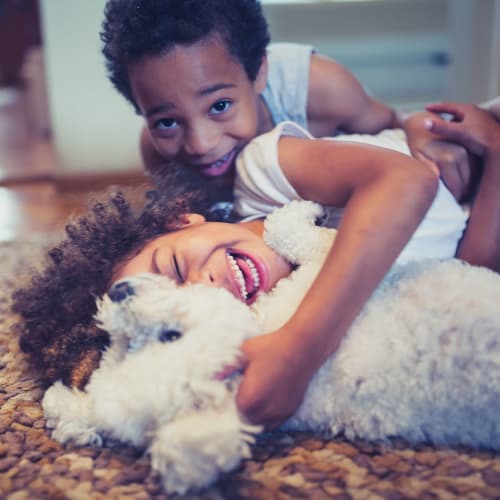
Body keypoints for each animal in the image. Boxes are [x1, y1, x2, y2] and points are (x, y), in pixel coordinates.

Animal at [42, 201, 500, 494]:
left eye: (164, 337)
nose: (118, 292)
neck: (259, 331)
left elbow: (294, 233)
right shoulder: (323, 281)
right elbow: (309, 238)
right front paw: (306, 211)